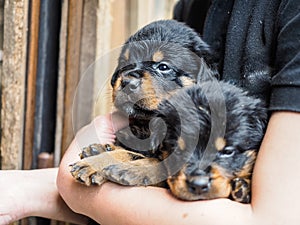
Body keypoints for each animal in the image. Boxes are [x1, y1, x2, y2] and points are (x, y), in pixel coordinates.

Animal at [70, 19, 268, 204]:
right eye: (125, 63)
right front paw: (97, 157)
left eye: (163, 67)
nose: (126, 82)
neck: (150, 123)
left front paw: (96, 164)